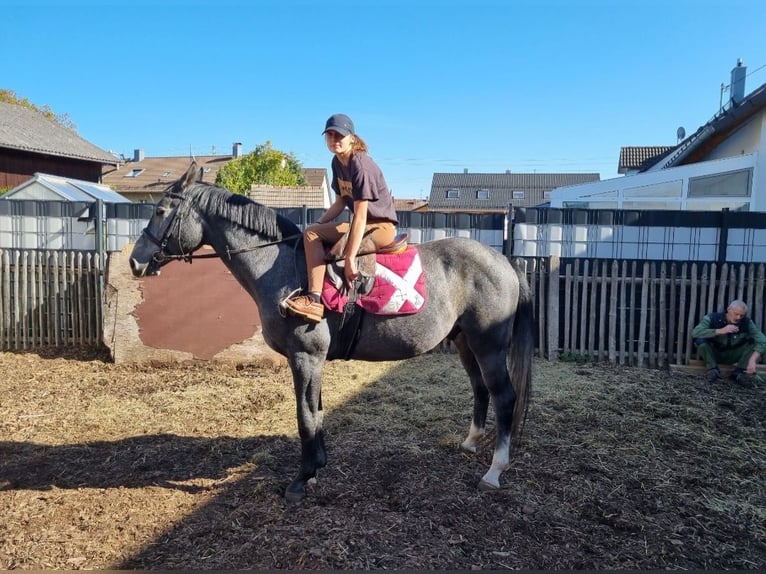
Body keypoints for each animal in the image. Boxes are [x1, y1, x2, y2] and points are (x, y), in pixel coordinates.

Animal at [130, 163, 536, 504]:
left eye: (162, 211)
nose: (135, 261)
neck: (281, 264)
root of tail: (504, 261)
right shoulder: (314, 360)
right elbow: (317, 411)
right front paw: (317, 466)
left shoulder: (305, 356)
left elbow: (305, 415)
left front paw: (303, 476)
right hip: (467, 342)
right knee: (480, 389)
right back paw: (470, 443)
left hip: (489, 346)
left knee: (504, 397)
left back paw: (494, 471)